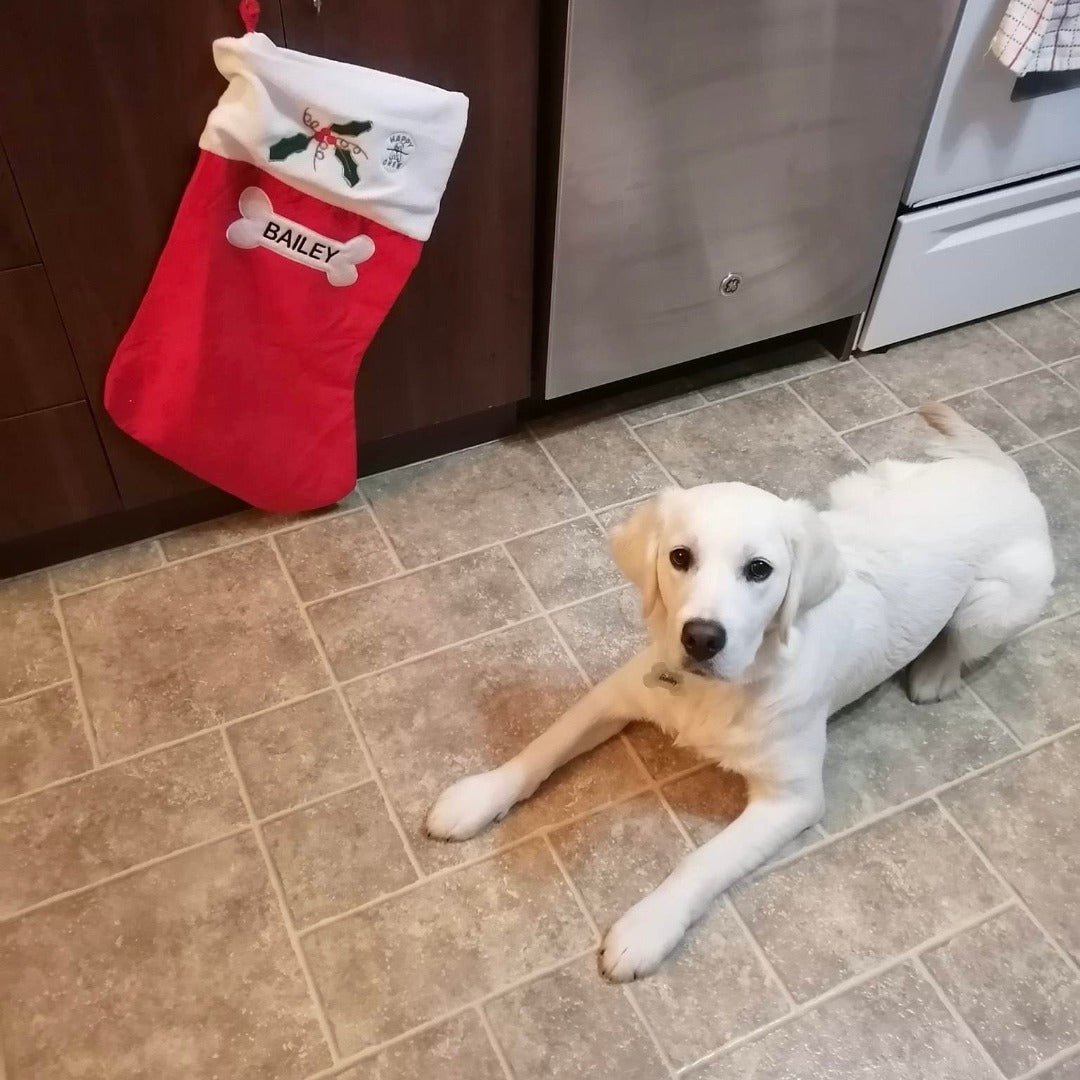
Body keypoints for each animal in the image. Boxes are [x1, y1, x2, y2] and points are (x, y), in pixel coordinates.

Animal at [425, 403, 1049, 980]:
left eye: (760, 570)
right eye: (680, 557)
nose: (701, 638)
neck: (727, 686)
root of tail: (1004, 476)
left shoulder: (791, 799)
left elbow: (701, 862)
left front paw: (645, 928)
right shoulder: (619, 692)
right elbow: (545, 744)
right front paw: (478, 796)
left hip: (993, 604)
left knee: (960, 640)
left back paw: (933, 675)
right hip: (861, 486)